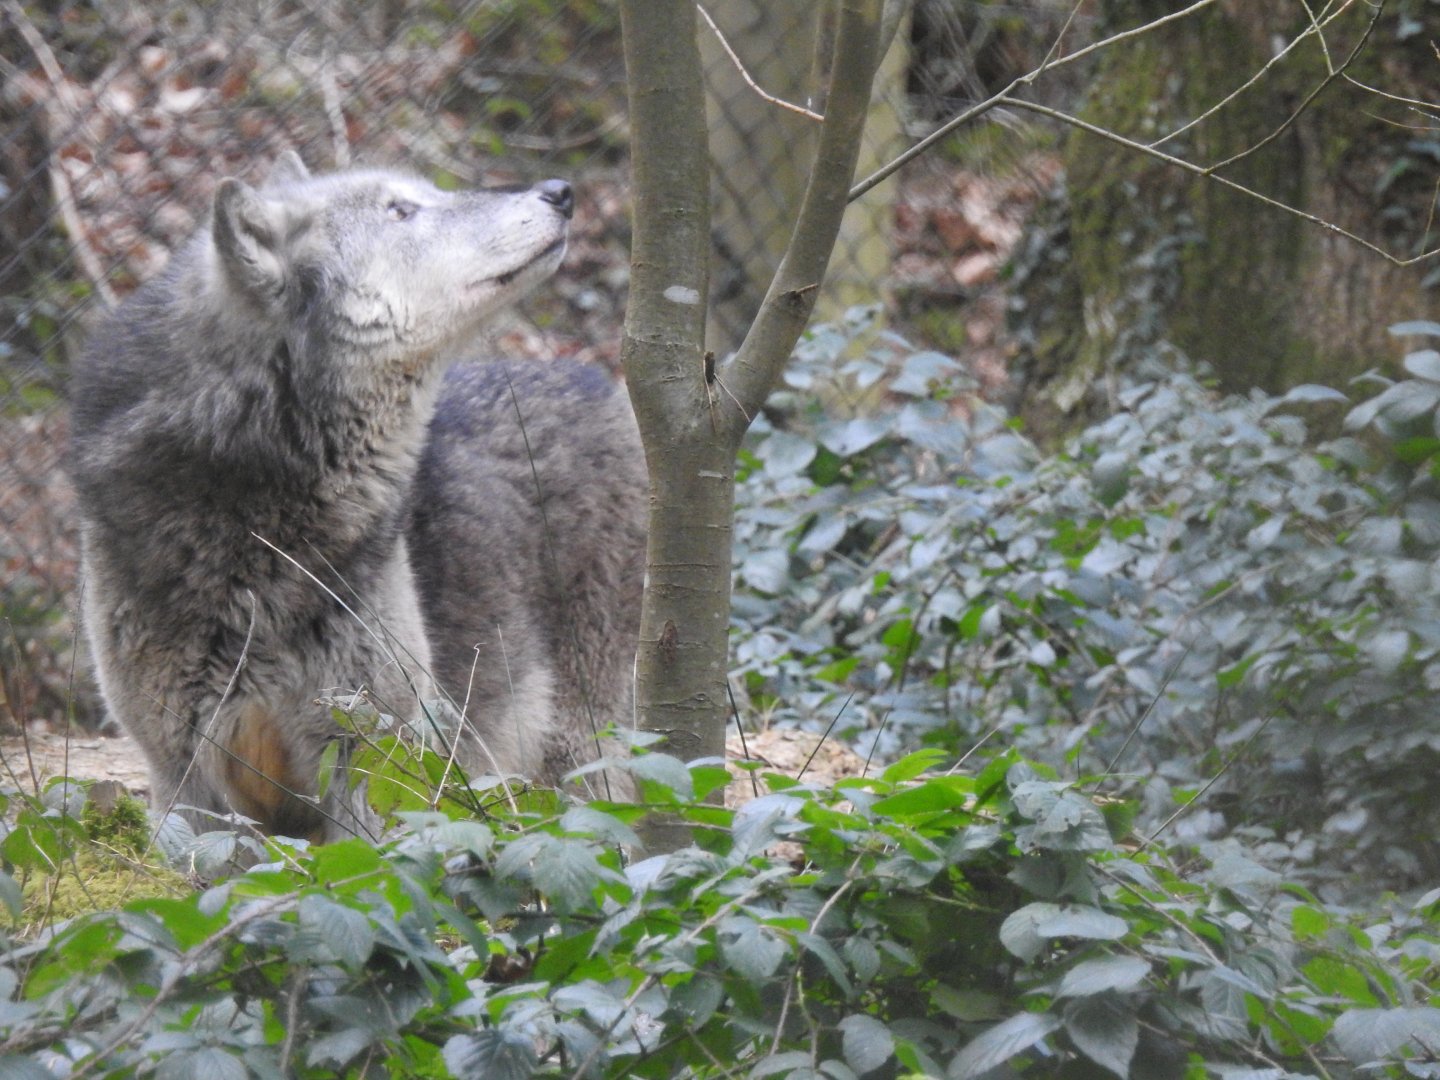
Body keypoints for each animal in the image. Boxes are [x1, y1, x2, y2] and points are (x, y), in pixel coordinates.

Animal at [69, 153, 646, 841]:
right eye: (401, 210)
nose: (561, 191)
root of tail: (594, 380)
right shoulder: (183, 778)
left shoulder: (370, 764)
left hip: (580, 752)